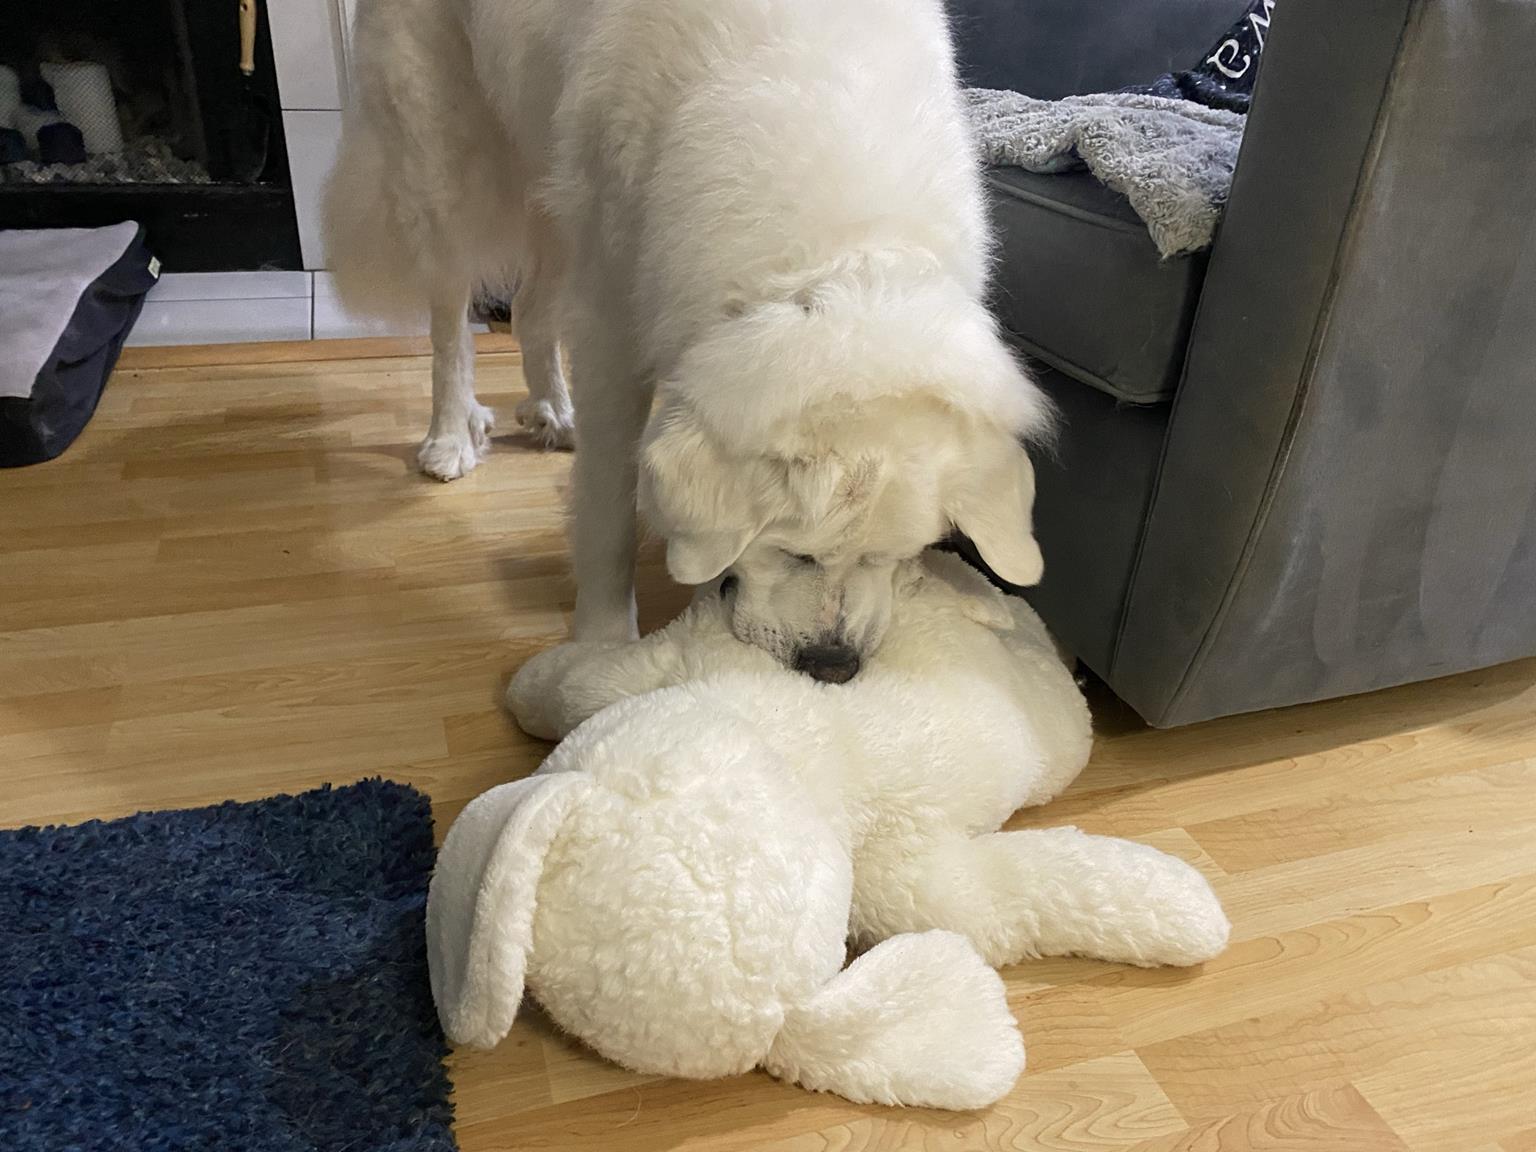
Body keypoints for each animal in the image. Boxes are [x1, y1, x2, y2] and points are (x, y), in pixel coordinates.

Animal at [322, 0, 1044, 675]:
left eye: (898, 556)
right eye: (795, 553)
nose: (833, 666)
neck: (843, 257)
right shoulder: (615, 326)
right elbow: (610, 512)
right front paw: (603, 645)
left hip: (556, 194)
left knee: (528, 310)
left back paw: (555, 413)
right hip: (447, 163)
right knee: (449, 322)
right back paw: (449, 437)